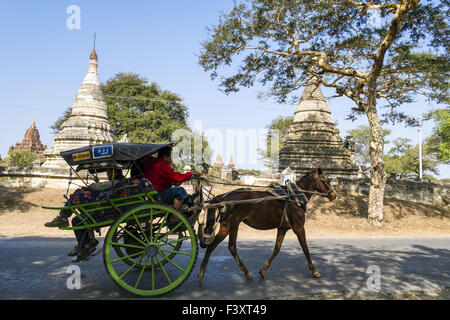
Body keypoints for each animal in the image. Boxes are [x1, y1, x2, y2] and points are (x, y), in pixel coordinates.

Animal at [197, 168, 338, 282]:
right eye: (326, 180)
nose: (334, 195)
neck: (295, 196)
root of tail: (223, 197)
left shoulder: (283, 228)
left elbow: (276, 249)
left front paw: (263, 270)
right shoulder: (298, 227)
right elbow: (306, 249)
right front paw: (314, 271)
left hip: (234, 225)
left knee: (232, 247)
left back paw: (246, 272)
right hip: (228, 225)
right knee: (212, 246)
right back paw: (201, 272)